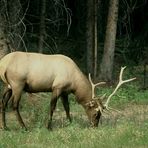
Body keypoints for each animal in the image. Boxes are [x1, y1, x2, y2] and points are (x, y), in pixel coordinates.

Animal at [0, 51, 136, 130]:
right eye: (96, 113)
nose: (95, 126)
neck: (74, 83)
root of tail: (3, 64)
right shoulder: (57, 87)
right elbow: (52, 107)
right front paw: (48, 126)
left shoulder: (65, 92)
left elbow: (67, 107)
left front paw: (70, 123)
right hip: (18, 84)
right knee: (14, 105)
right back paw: (24, 127)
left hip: (8, 86)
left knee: (3, 103)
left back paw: (5, 127)